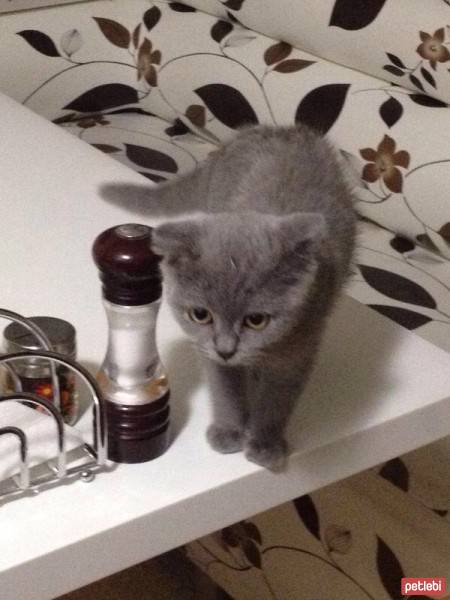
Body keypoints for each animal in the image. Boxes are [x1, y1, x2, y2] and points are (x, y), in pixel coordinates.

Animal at [102, 126, 356, 472]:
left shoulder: (302, 344)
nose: (226, 349)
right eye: (200, 314)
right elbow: (225, 388)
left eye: (256, 320)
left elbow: (278, 398)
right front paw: (228, 432)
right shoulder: (208, 349)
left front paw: (264, 444)